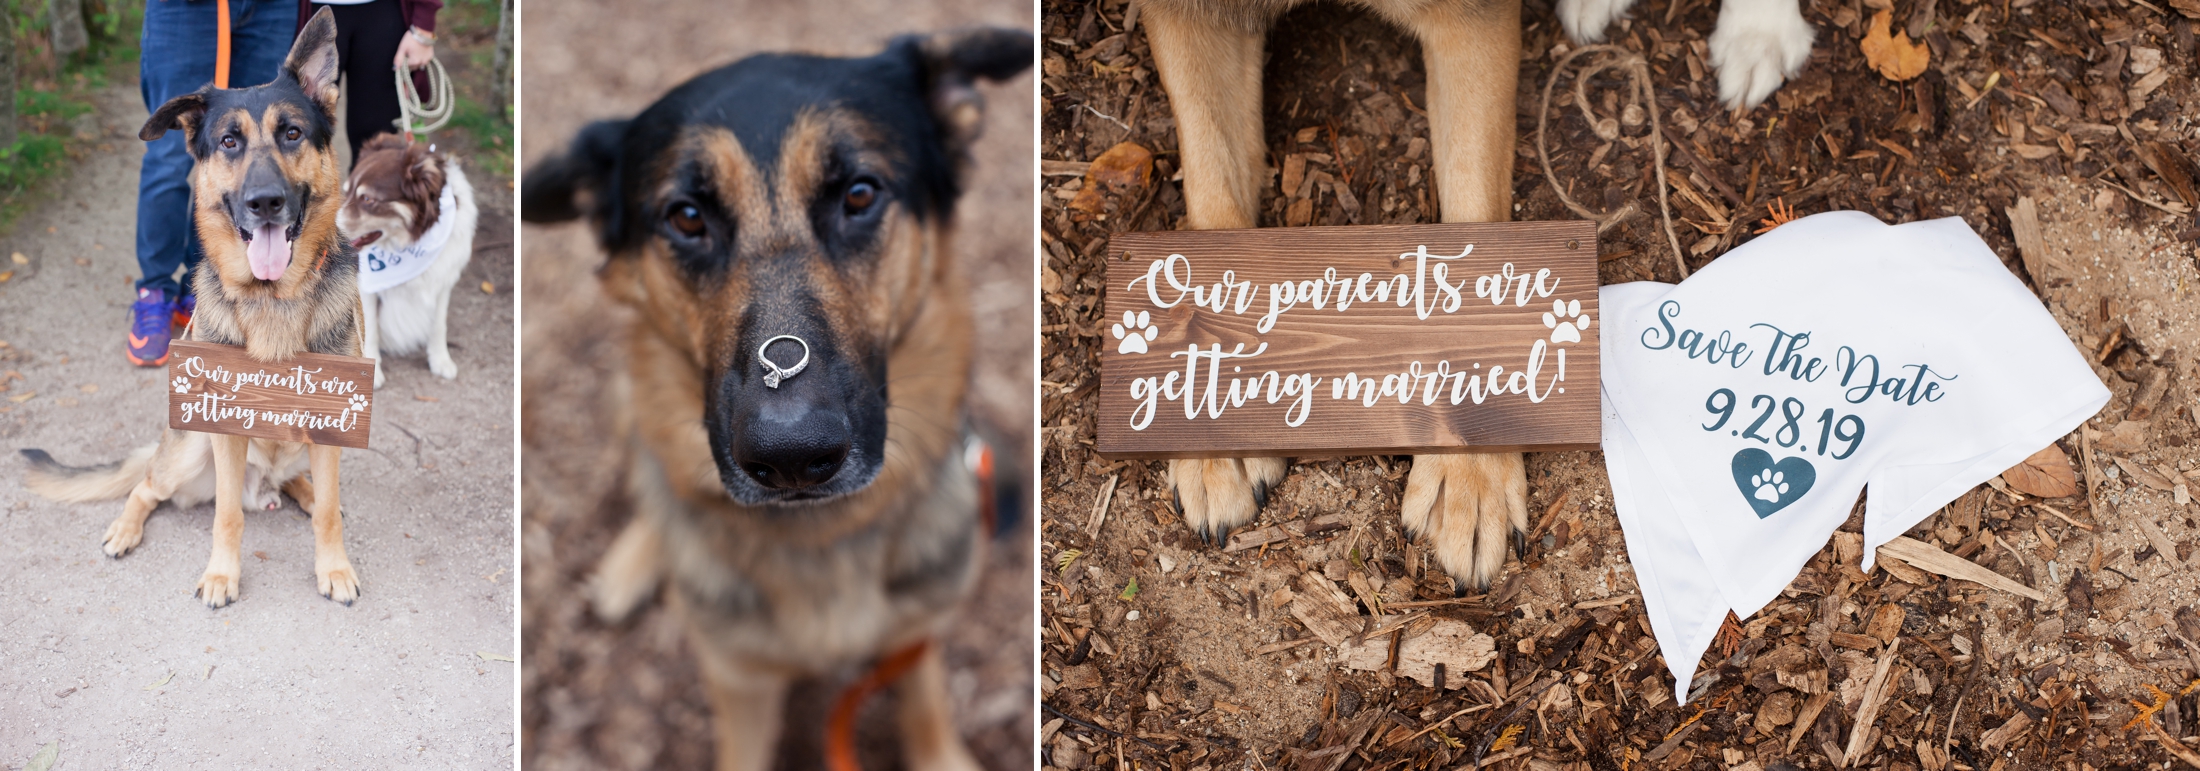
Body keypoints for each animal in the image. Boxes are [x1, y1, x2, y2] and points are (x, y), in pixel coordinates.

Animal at [20, 7, 360, 607]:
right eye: (228, 141)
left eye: (293, 133)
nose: (266, 203)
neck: (271, 298)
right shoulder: (222, 433)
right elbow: (226, 516)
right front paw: (222, 575)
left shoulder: (327, 430)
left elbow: (328, 515)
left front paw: (334, 567)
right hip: (187, 451)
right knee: (146, 487)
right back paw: (125, 529)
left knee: (307, 490)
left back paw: (301, 490)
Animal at [336, 133, 475, 385]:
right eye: (346, 192)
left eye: (367, 199)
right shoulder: (367, 288)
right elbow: (371, 328)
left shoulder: (443, 283)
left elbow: (438, 325)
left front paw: (440, 360)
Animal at [521, 27, 1029, 766]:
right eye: (686, 217)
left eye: (859, 195)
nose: (791, 458)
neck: (826, 534)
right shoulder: (739, 681)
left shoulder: (915, 635)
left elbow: (925, 703)